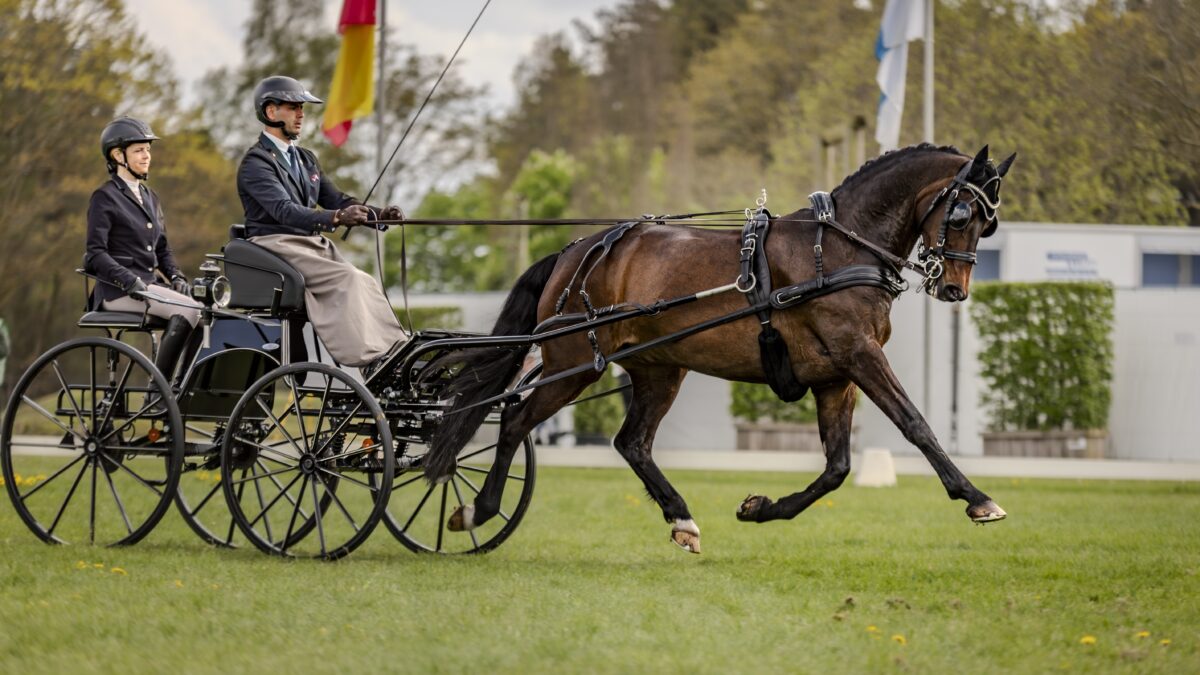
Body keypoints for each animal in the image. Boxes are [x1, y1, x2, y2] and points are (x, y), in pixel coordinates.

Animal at [423, 143, 1016, 554]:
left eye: (989, 224)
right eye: (961, 215)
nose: (954, 289)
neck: (838, 247)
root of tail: (577, 250)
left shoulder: (835, 375)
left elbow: (837, 466)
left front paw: (761, 508)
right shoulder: (860, 355)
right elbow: (915, 423)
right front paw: (976, 498)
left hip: (659, 370)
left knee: (631, 443)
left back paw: (681, 518)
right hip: (573, 364)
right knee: (516, 420)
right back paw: (480, 510)